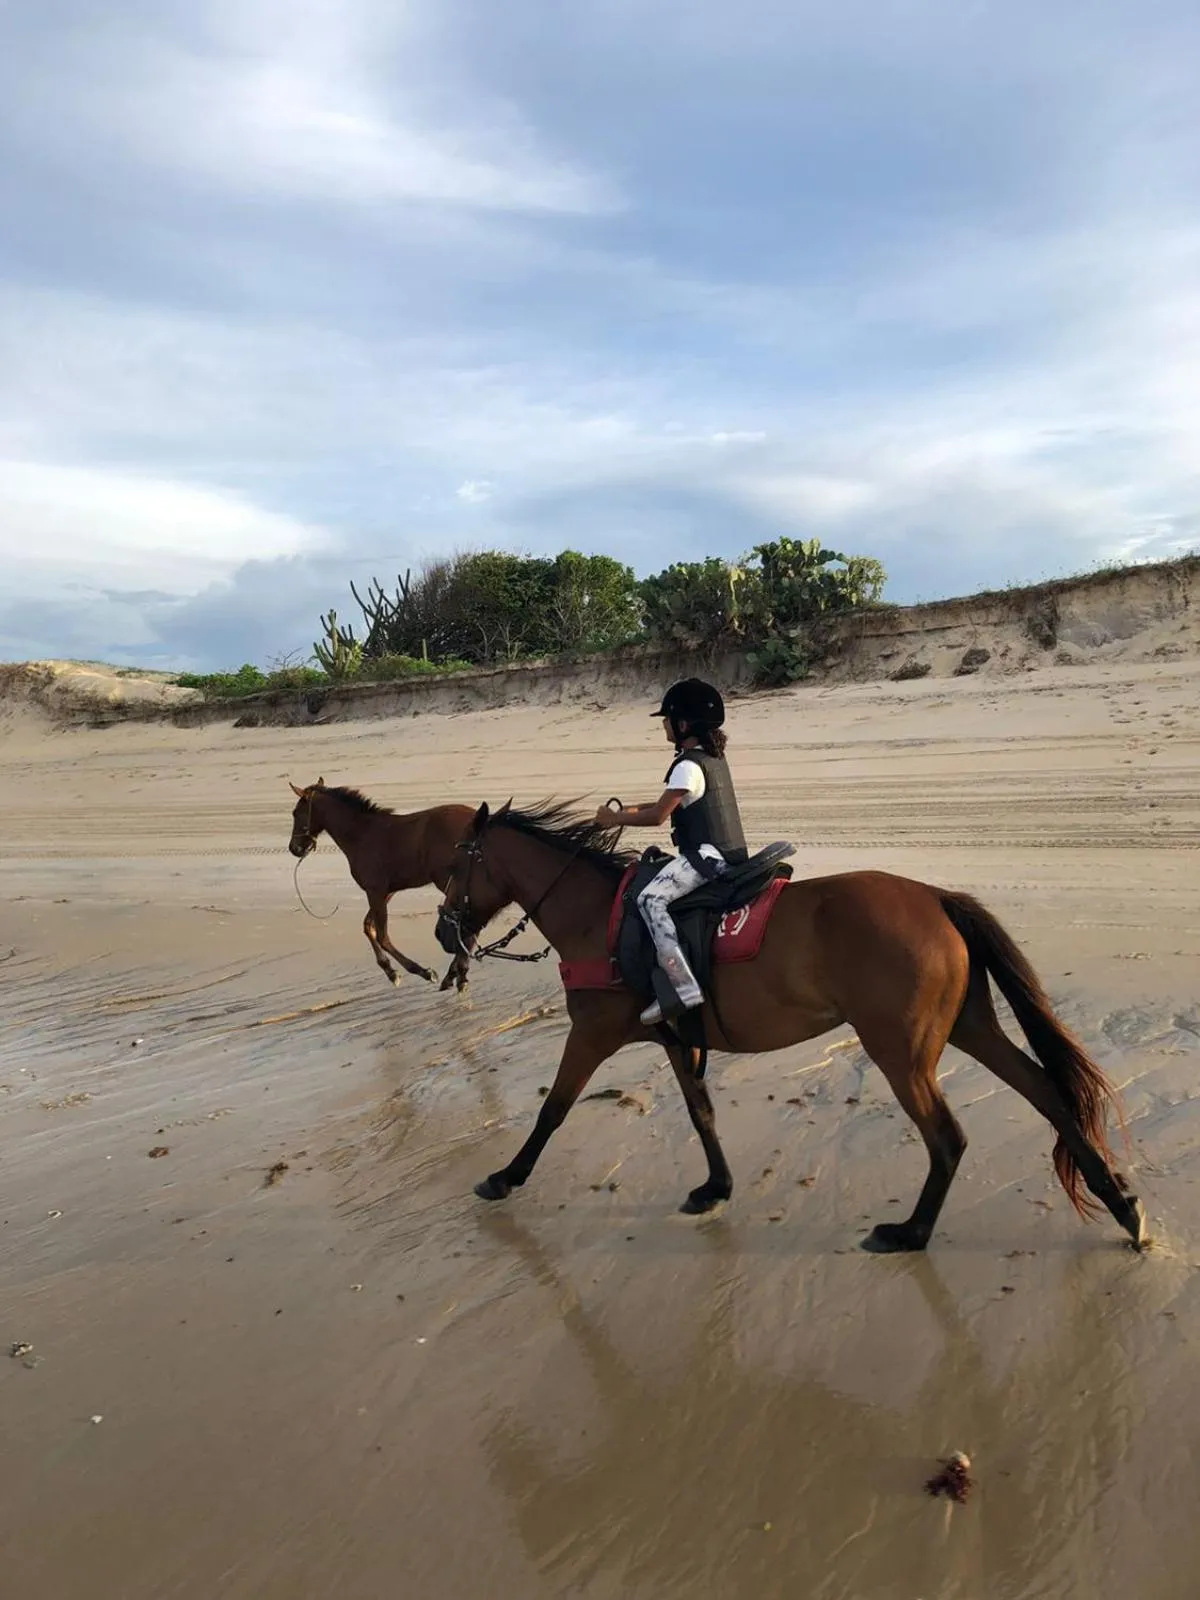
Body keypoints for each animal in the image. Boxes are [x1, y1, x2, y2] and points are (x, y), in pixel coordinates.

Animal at [287, 779, 477, 991]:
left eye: (296, 813)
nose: (294, 848)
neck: (361, 834)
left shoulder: (374, 891)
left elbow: (382, 936)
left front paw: (422, 972)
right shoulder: (386, 892)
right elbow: (367, 926)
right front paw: (390, 971)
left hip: (449, 881)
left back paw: (456, 976)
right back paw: (455, 975)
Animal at [434, 800, 1146, 1253]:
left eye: (455, 864)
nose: (444, 932)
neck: (598, 916)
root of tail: (937, 897)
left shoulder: (592, 1035)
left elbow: (552, 1109)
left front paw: (506, 1177)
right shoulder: (676, 1039)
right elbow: (701, 1113)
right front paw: (715, 1188)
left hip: (901, 1051)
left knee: (947, 1137)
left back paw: (910, 1234)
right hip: (969, 1028)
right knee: (1048, 1094)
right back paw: (1124, 1209)